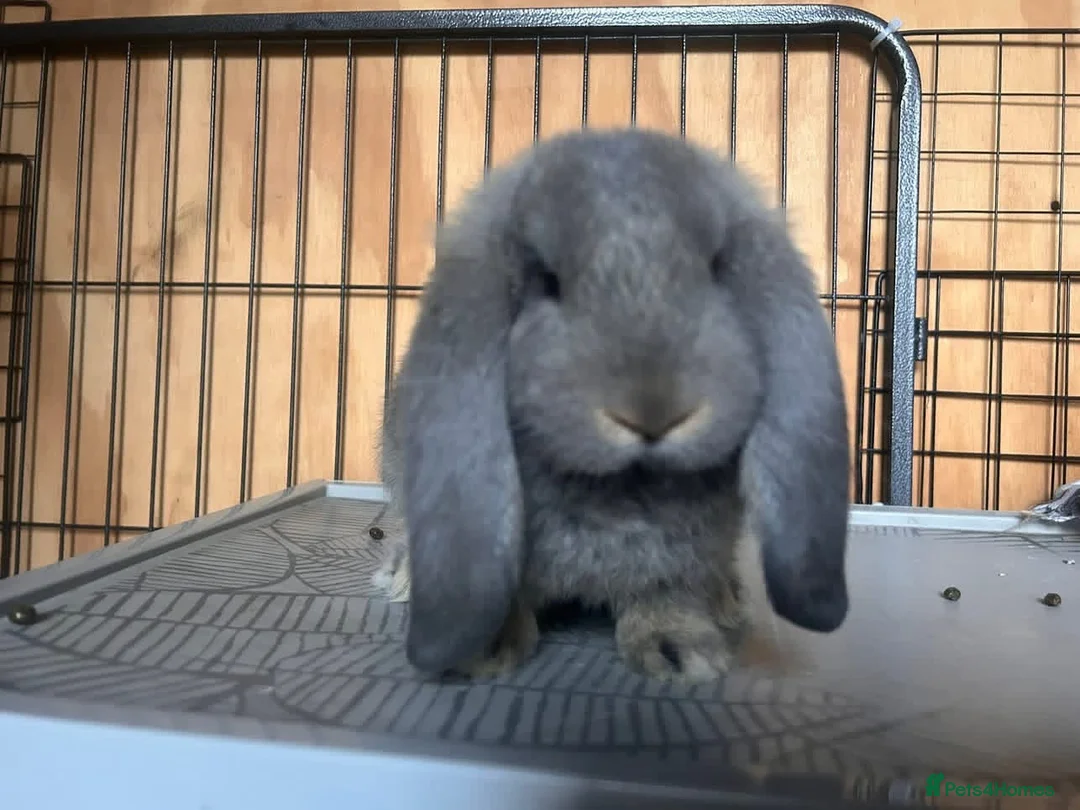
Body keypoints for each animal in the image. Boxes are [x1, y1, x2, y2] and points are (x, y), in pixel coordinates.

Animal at [376, 126, 851, 684]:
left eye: (716, 268)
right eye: (547, 280)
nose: (654, 411)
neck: (621, 487)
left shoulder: (688, 553)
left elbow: (668, 593)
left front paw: (681, 652)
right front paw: (483, 651)